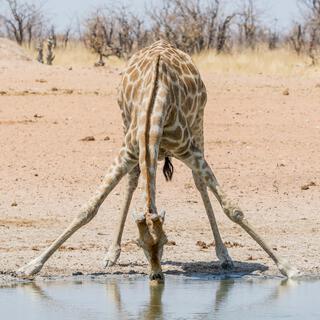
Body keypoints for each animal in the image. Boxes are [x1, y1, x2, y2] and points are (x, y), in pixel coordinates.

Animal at [17, 40, 298, 282]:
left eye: (165, 241)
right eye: (139, 243)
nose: (156, 276)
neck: (155, 108)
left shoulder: (190, 151)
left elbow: (232, 209)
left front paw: (287, 266)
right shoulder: (127, 151)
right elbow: (87, 209)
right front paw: (30, 266)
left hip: (199, 124)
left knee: (200, 184)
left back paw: (224, 256)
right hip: (125, 125)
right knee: (133, 181)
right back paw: (111, 254)